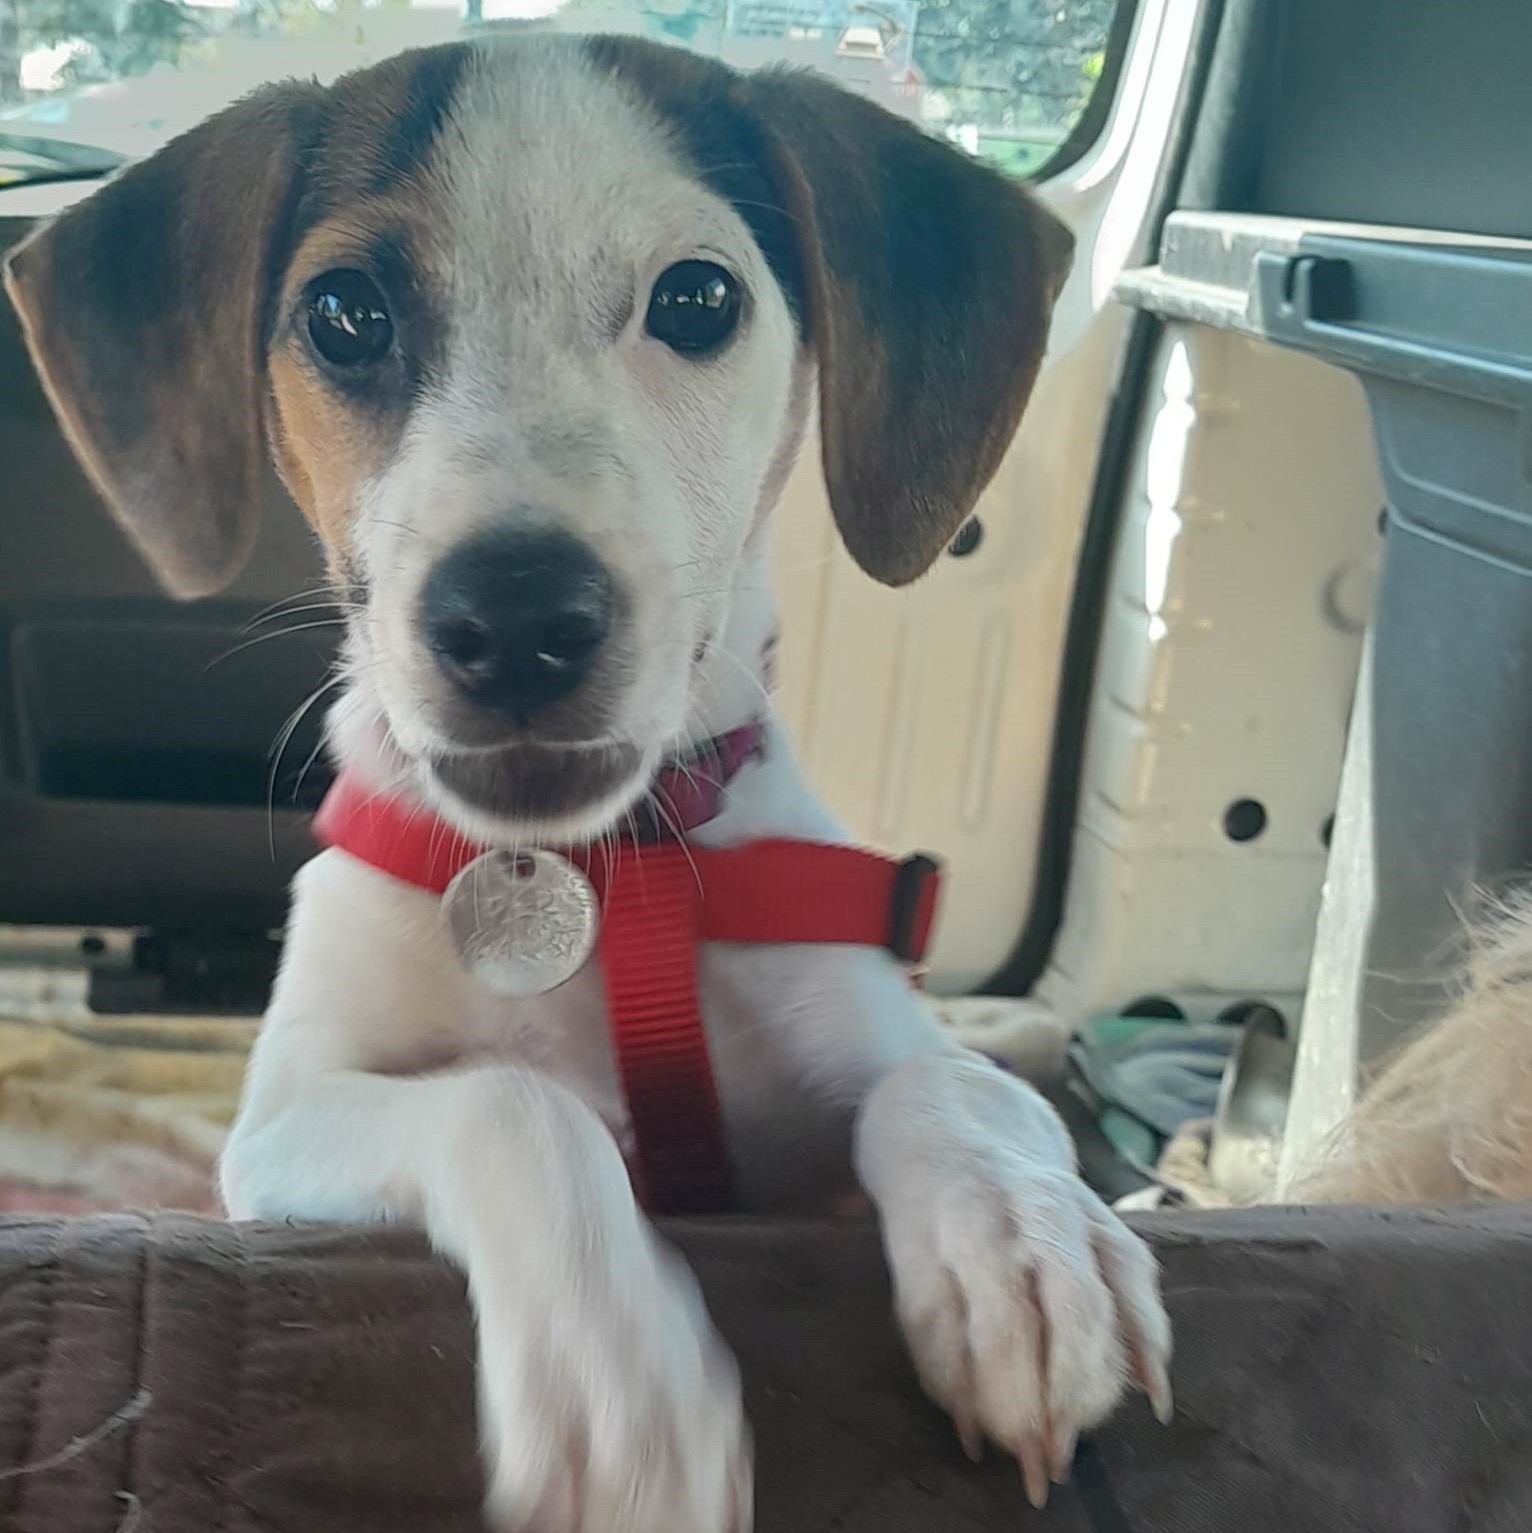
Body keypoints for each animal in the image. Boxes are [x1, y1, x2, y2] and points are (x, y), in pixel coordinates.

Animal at [2, 36, 1171, 1533]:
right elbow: (515, 1105)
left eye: (700, 298)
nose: (514, 619)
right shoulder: (283, 1126)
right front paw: (620, 1386)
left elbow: (957, 1086)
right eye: (344, 313)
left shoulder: (867, 1050)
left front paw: (1026, 1246)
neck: (603, 876)